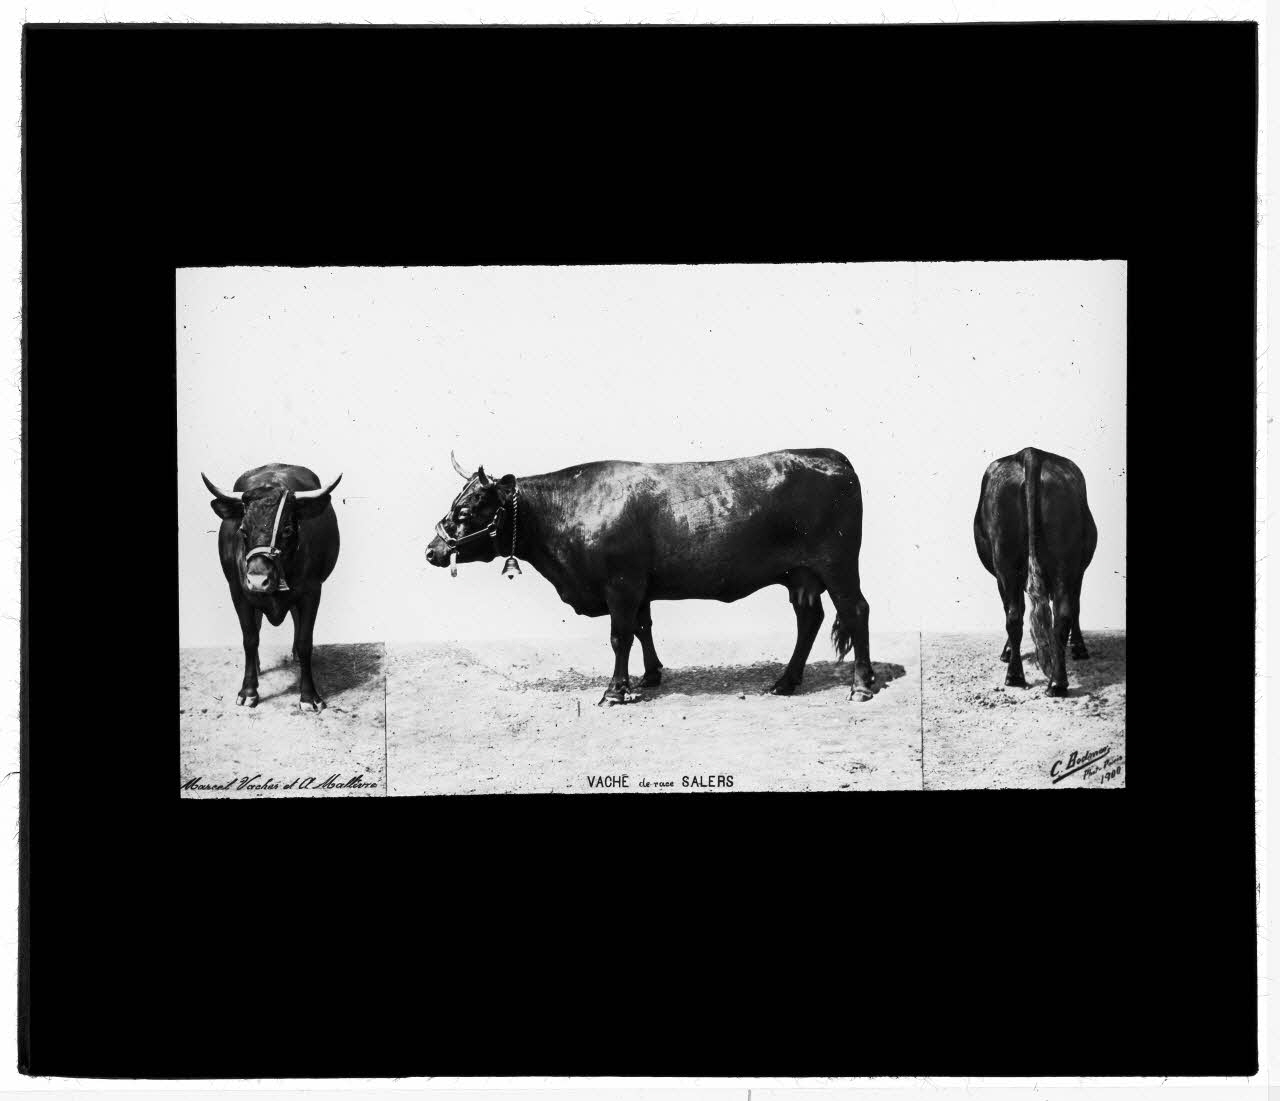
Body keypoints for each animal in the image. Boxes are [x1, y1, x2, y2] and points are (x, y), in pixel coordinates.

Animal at [201, 463, 342, 710]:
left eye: (286, 529)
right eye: (243, 530)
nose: (258, 580)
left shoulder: (312, 592)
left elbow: (305, 641)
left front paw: (309, 697)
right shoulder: (238, 592)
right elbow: (250, 638)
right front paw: (248, 691)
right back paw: (257, 666)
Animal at [424, 448, 875, 704]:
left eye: (466, 510)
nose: (432, 551)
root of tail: (833, 457)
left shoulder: (621, 584)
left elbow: (620, 636)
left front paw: (615, 691)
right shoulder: (638, 586)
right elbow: (643, 627)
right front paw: (650, 676)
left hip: (837, 564)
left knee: (855, 610)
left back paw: (861, 686)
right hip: (800, 576)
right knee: (809, 619)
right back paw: (785, 681)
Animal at [973, 446, 1097, 697]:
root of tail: (1030, 453)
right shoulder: (1076, 571)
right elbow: (1075, 607)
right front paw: (1078, 647)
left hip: (1006, 562)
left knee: (1015, 614)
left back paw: (1016, 676)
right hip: (1061, 560)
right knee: (1060, 613)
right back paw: (1056, 683)